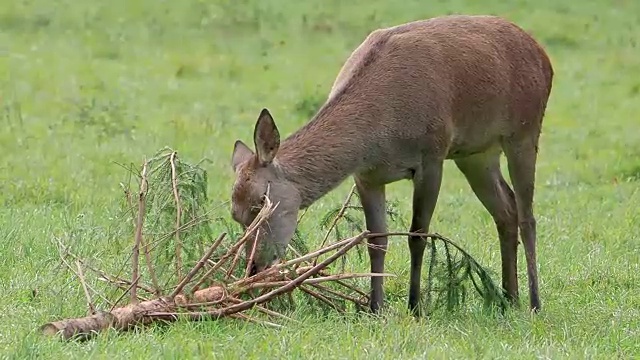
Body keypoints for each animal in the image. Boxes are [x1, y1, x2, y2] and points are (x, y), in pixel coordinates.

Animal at [230, 14, 556, 316]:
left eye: (262, 201)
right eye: (236, 213)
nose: (253, 267)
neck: (379, 134)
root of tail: (543, 56)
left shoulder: (432, 156)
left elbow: (418, 235)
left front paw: (414, 306)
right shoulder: (366, 176)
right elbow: (376, 240)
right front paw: (375, 306)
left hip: (525, 131)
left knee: (527, 216)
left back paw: (534, 303)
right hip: (476, 154)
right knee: (506, 209)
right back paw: (508, 298)